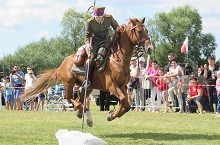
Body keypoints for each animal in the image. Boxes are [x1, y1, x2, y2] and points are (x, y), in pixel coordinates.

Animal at [19, 17, 151, 121]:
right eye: (139, 31)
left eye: (146, 30)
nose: (150, 48)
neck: (118, 59)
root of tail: (62, 64)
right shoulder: (111, 86)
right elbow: (123, 99)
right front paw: (111, 115)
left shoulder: (122, 86)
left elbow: (127, 104)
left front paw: (112, 115)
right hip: (69, 83)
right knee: (68, 98)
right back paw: (82, 110)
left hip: (87, 86)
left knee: (78, 99)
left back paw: (82, 113)